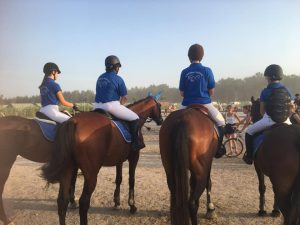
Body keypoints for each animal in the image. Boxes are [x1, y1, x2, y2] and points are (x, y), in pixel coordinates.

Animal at [41, 96, 163, 225]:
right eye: (159, 106)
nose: (161, 120)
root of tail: (73, 121)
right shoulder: (134, 157)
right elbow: (131, 180)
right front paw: (132, 206)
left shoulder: (119, 159)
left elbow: (119, 179)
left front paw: (116, 202)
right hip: (91, 175)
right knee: (83, 202)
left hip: (67, 170)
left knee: (62, 201)